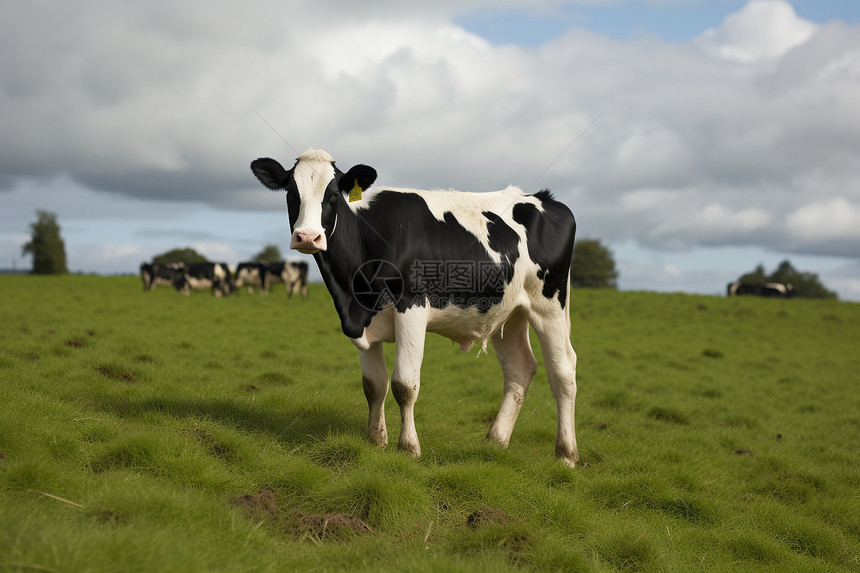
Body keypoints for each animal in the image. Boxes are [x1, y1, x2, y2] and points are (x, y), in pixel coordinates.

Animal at [252, 150, 580, 466]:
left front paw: (408, 447)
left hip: (549, 305)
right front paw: (376, 440)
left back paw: (566, 454)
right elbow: (373, 385)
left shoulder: (411, 306)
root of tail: (544, 199)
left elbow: (404, 384)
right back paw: (496, 441)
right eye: (290, 192)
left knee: (563, 372)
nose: (308, 237)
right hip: (507, 314)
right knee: (519, 369)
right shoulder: (364, 317)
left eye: (333, 194)